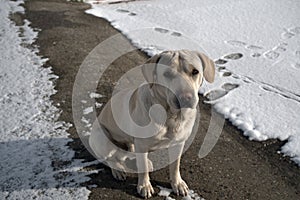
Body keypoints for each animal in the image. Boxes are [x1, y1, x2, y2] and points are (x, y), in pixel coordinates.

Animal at [88, 50, 214, 198]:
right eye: (167, 74)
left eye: (195, 71)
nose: (185, 98)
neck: (171, 115)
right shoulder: (142, 144)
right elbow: (143, 169)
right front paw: (144, 186)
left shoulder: (178, 143)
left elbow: (175, 166)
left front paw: (177, 184)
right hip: (102, 138)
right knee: (108, 158)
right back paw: (118, 170)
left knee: (131, 149)